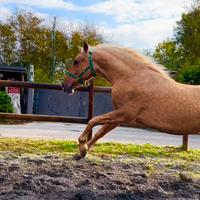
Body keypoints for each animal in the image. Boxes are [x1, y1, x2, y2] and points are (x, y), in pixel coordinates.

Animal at [63, 42, 200, 159]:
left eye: (76, 61)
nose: (64, 85)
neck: (130, 77)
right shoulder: (119, 116)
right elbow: (100, 132)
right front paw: (80, 153)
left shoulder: (126, 113)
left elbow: (93, 120)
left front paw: (82, 144)